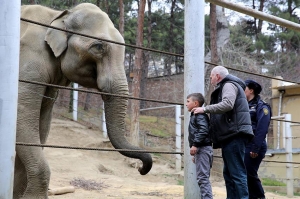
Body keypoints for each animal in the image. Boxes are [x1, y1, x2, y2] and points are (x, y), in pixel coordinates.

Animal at [15, 3, 152, 199]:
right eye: (99, 47)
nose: (141, 169)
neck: (59, 16)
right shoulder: (28, 63)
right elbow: (22, 114)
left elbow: (40, 125)